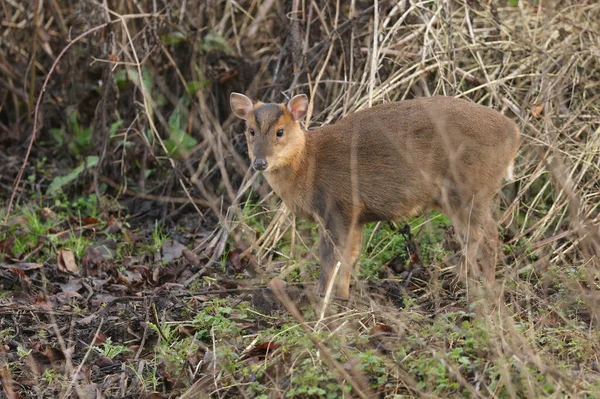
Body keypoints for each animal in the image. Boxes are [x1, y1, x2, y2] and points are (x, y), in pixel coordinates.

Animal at [230, 94, 520, 300]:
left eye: (280, 131)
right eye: (251, 130)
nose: (259, 162)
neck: (307, 165)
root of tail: (514, 133)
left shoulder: (338, 205)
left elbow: (331, 256)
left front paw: (322, 296)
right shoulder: (356, 216)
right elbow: (350, 256)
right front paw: (343, 297)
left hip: (468, 188)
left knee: (487, 235)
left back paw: (473, 284)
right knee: (481, 234)